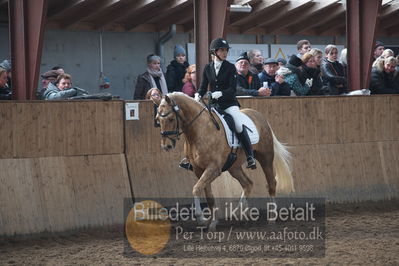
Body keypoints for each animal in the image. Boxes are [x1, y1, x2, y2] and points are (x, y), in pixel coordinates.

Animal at [155, 92, 296, 229]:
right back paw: (242, 213)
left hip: (265, 158)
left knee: (271, 183)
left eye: (171, 119)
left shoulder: (213, 169)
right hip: (234, 167)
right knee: (248, 184)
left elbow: (196, 189)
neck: (199, 131)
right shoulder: (198, 170)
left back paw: (271, 217)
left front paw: (201, 218)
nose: (166, 146)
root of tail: (259, 116)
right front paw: (212, 221)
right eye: (157, 120)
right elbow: (207, 195)